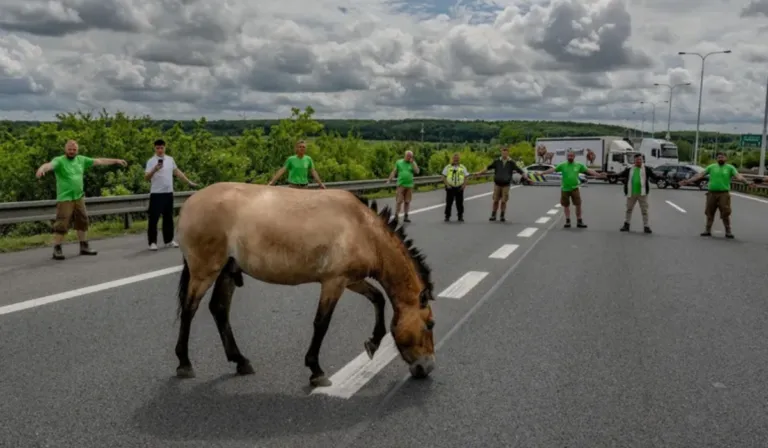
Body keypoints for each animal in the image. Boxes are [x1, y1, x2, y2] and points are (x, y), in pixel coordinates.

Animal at [173, 182, 436, 387]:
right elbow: (321, 324)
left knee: (219, 309)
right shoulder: (334, 282)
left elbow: (378, 299)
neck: (363, 229)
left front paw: (373, 342)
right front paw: (316, 370)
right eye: (430, 324)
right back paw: (184, 364)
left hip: (227, 271)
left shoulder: (352, 280)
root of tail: (190, 203)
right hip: (204, 272)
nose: (428, 367)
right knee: (189, 310)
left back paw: (240, 361)